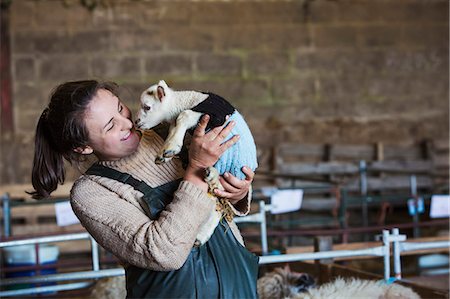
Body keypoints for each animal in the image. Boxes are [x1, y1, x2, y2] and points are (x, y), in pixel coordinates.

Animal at [134, 80, 256, 246]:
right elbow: (174, 128)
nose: (136, 122)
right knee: (216, 201)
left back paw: (212, 176)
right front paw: (166, 152)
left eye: (147, 107)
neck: (189, 101)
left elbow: (184, 116)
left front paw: (170, 148)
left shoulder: (214, 116)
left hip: (233, 170)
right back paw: (201, 235)